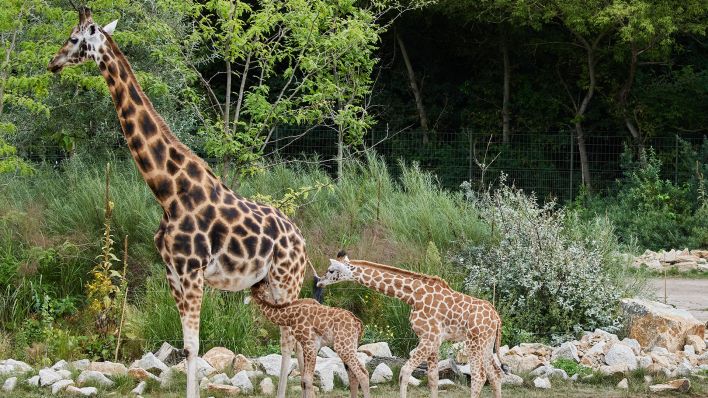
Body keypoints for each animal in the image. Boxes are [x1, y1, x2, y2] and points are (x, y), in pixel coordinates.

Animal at [48, 7, 304, 398]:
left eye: (75, 38)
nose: (53, 62)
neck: (168, 191)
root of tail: (302, 240)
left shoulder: (192, 270)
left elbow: (194, 346)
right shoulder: (173, 272)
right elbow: (185, 347)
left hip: (286, 279)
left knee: (292, 337)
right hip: (266, 284)